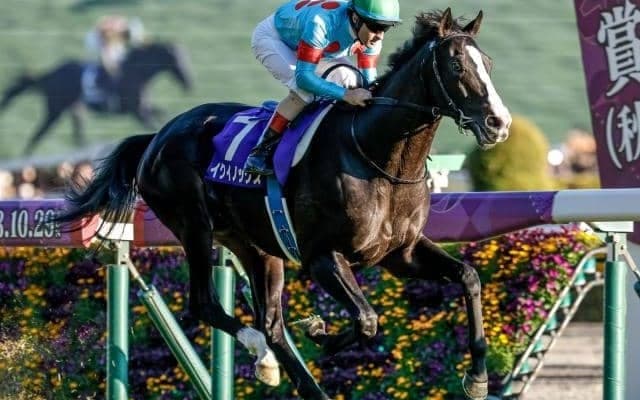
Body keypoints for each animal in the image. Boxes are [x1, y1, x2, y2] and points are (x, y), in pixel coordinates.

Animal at [0, 41, 193, 155]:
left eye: (185, 58)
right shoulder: (137, 112)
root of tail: (49, 75)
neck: (136, 73)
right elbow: (154, 125)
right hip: (54, 110)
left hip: (74, 109)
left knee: (76, 136)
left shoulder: (142, 108)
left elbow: (161, 114)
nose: (189, 82)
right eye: (176, 60)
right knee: (38, 135)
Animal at [55, 9, 511, 400]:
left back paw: (287, 373)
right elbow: (366, 320)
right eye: (456, 66)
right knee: (206, 304)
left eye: (488, 63)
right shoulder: (322, 257)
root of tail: (155, 138)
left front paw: (477, 379)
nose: (499, 124)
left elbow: (468, 276)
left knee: (271, 324)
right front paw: (320, 333)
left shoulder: (400, 253)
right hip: (194, 227)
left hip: (254, 246)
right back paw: (262, 351)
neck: (379, 159)